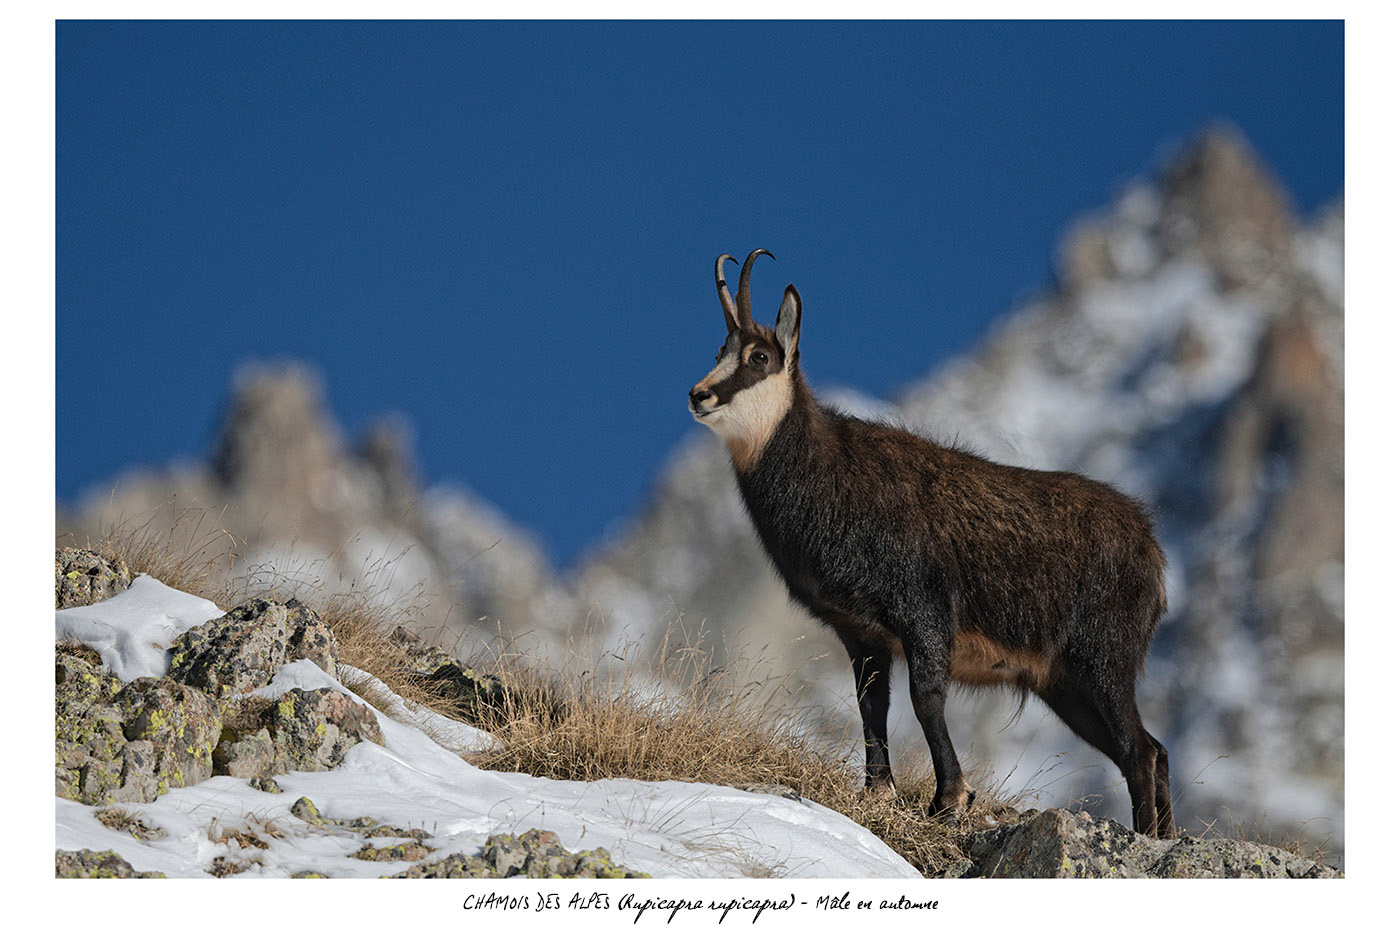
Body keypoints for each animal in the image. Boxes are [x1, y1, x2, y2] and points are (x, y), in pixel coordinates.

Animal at [687, 249, 1176, 838]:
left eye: (759, 357)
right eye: (719, 351)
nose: (698, 395)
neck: (830, 476)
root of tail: (1153, 554)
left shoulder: (923, 610)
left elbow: (926, 699)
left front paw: (950, 800)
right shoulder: (861, 631)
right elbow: (870, 706)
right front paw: (878, 793)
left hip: (1103, 659)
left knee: (1140, 751)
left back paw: (1149, 838)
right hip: (1065, 683)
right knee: (1150, 750)